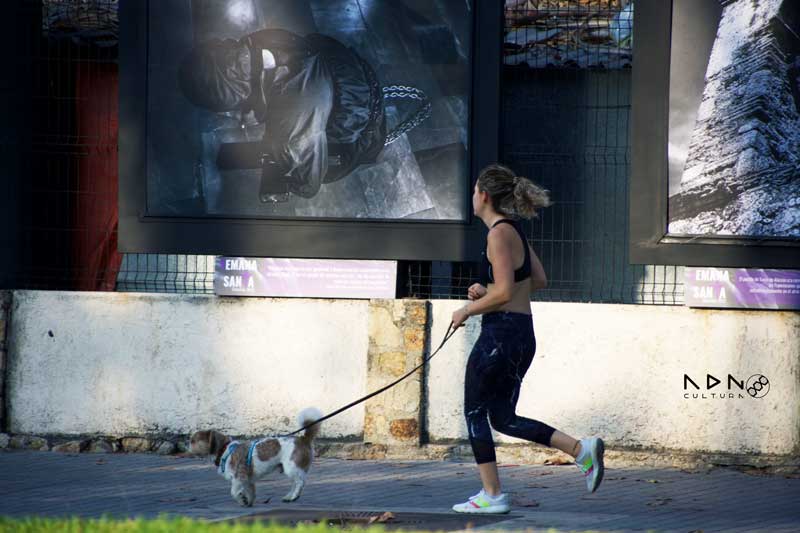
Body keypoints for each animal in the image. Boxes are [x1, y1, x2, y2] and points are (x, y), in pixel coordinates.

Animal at [189, 408, 324, 508]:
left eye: (193, 441)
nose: (187, 443)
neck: (225, 449)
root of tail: (303, 439)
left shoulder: (239, 477)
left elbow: (234, 492)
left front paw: (242, 500)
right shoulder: (248, 481)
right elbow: (251, 492)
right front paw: (248, 502)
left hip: (292, 467)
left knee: (300, 482)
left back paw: (294, 496)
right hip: (290, 469)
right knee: (295, 482)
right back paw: (289, 497)